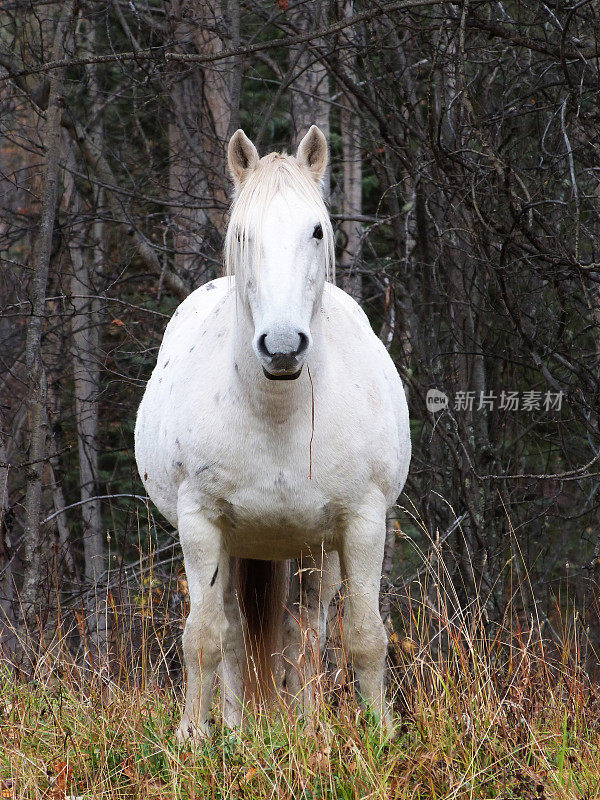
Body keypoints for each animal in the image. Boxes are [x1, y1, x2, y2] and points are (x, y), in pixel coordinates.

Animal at [134, 125, 410, 736]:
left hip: (316, 550)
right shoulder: (203, 526)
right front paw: (192, 739)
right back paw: (236, 733)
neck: (278, 415)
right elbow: (204, 640)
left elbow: (364, 638)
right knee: (235, 635)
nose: (282, 347)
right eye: (243, 233)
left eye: (317, 230)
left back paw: (307, 730)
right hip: (237, 547)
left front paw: (381, 737)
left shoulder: (361, 524)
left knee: (304, 632)